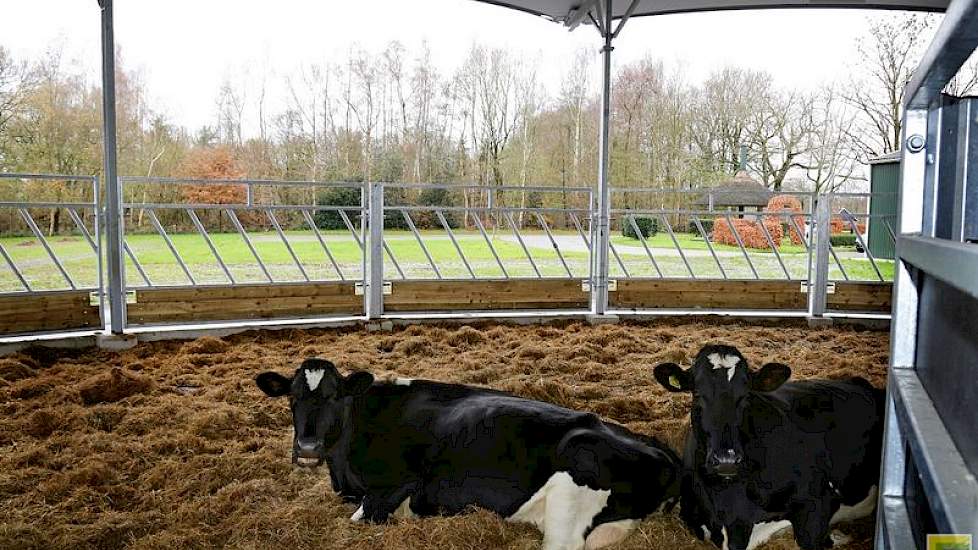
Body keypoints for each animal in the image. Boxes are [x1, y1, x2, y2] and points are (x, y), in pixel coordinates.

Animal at [258, 358, 680, 550]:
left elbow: (363, 516)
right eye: (292, 398)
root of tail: (662, 450)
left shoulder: (397, 484)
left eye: (334, 397)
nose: (307, 448)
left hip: (570, 499)